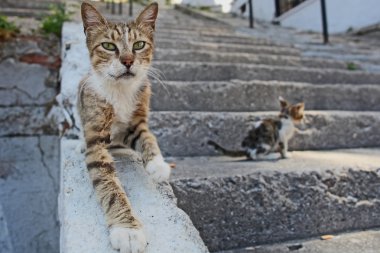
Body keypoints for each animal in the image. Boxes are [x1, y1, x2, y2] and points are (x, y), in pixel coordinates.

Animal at [77, 2, 169, 253]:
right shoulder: (96, 139)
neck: (120, 91)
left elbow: (148, 137)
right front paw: (128, 230)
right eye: (108, 46)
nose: (127, 61)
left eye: (139, 45)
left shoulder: (136, 122)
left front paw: (158, 164)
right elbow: (109, 186)